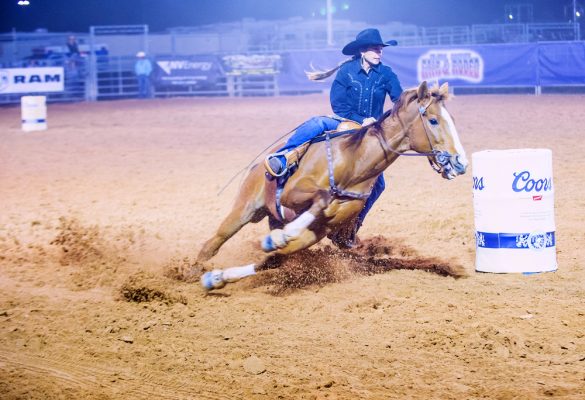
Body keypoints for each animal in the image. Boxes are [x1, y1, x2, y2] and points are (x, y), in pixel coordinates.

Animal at [198, 80, 468, 290]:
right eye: (433, 120)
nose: (461, 162)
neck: (352, 163)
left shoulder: (318, 231)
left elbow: (275, 256)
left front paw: (274, 241)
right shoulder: (293, 193)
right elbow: (322, 198)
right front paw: (282, 236)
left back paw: (216, 276)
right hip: (245, 209)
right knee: (212, 244)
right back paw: (195, 269)